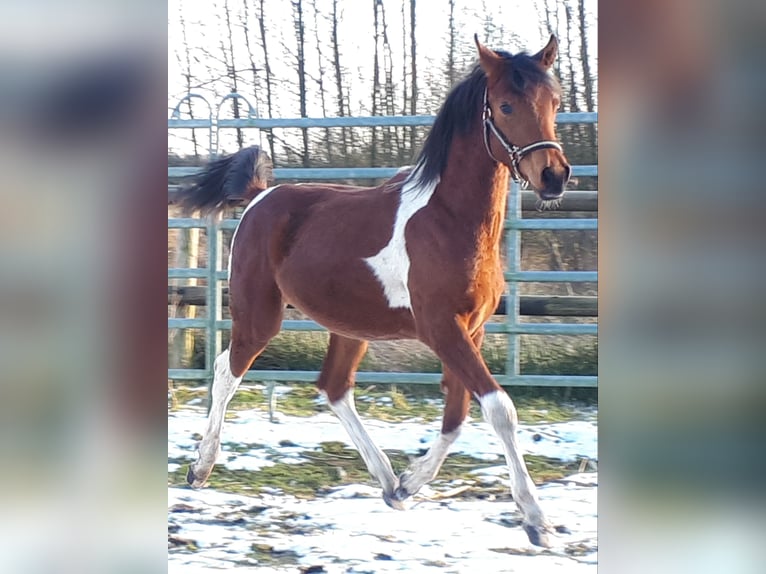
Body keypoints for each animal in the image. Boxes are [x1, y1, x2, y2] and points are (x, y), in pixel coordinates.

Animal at [178, 35, 568, 548]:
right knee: (228, 370)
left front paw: (409, 483)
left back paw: (387, 481)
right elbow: (499, 408)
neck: (449, 221)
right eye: (505, 105)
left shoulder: (473, 330)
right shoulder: (441, 328)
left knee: (334, 386)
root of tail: (261, 196)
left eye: (555, 101)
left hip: (350, 325)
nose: (554, 176)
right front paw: (537, 521)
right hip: (259, 315)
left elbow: (458, 413)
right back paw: (200, 469)